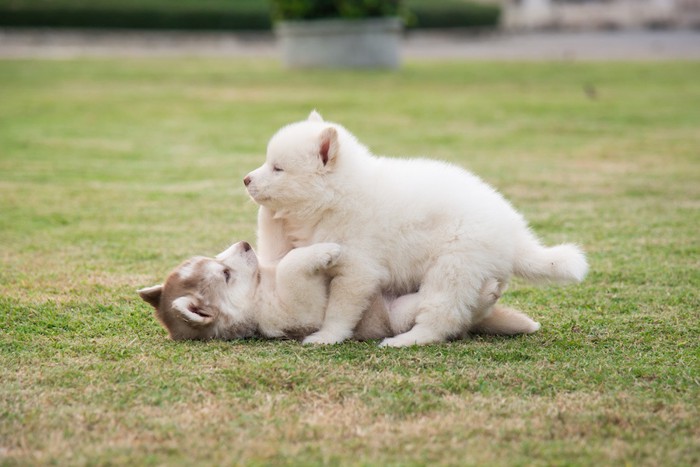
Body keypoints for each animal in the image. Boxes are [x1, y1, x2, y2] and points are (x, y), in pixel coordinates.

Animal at [243, 112, 588, 348]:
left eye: (278, 168)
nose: (246, 179)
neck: (338, 195)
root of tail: (514, 235)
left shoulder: (359, 269)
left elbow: (340, 308)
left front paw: (328, 335)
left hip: (453, 267)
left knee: (441, 317)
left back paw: (406, 340)